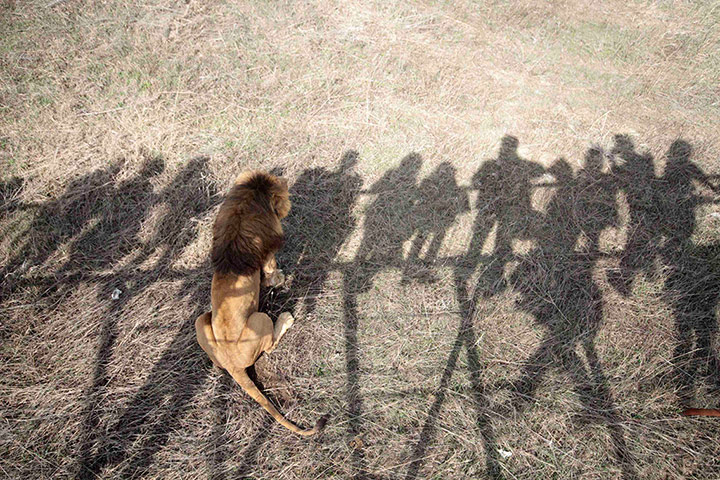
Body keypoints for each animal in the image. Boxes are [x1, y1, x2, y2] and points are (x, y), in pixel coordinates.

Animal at [195, 170, 326, 436]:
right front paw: (281, 279)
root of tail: (232, 364)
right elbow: (274, 274)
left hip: (201, 321)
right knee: (269, 346)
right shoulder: (267, 258)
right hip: (259, 318)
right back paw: (286, 318)